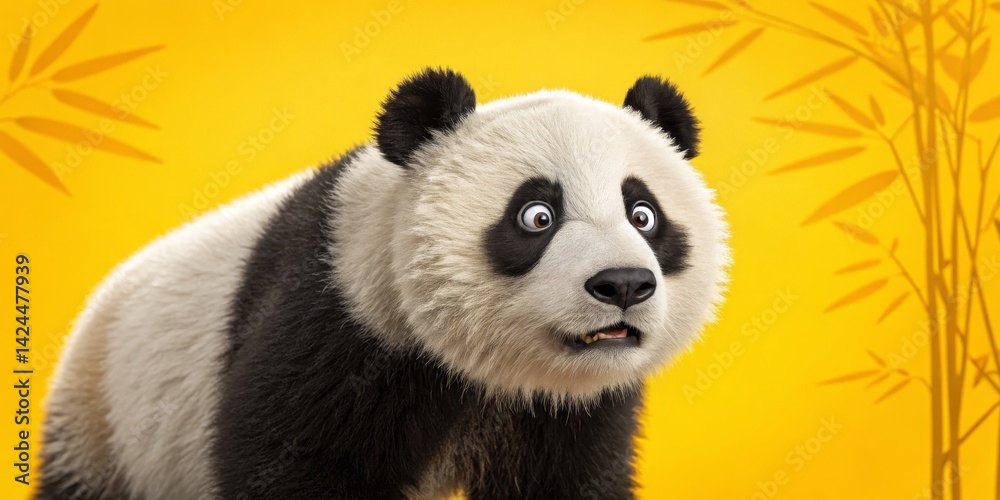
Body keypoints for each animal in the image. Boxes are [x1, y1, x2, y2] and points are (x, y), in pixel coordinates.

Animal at [38, 68, 728, 500]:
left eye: (643, 215)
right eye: (537, 216)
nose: (623, 285)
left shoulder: (571, 406)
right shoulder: (338, 325)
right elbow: (290, 464)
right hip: (102, 423)